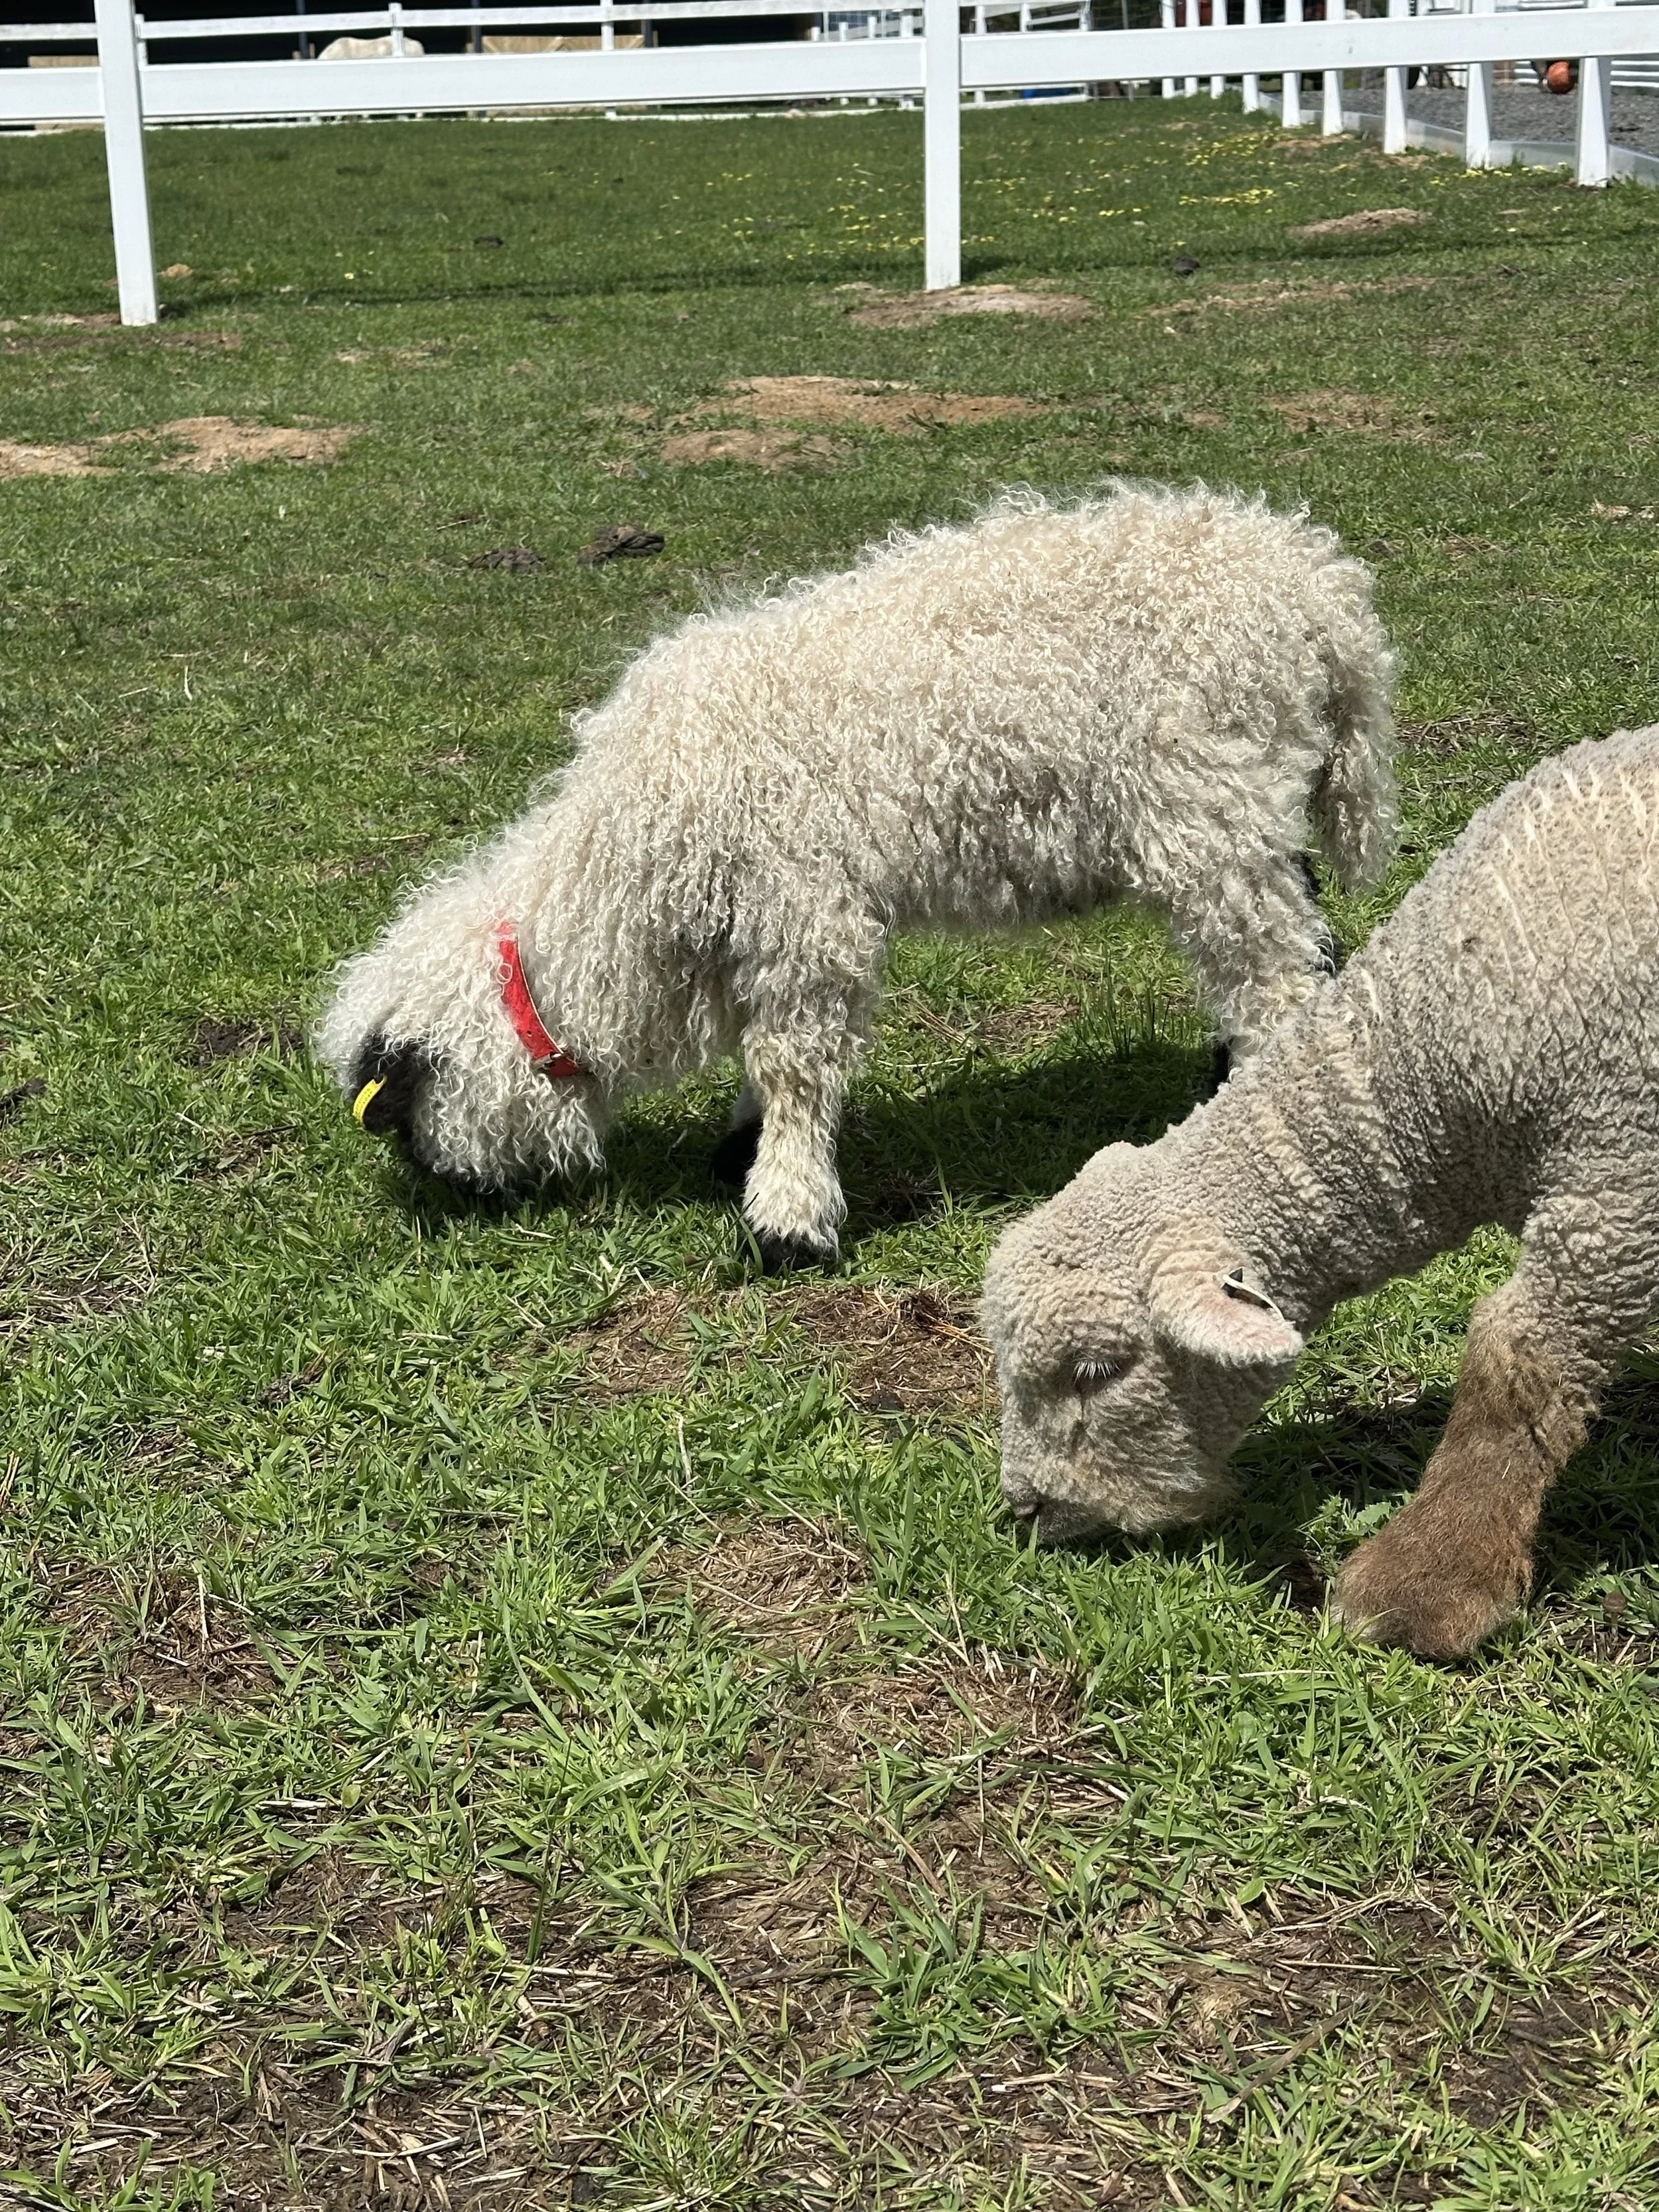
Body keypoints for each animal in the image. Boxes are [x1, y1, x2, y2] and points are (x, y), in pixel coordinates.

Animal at [317, 484, 1397, 1266]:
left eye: (406, 1119)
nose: (464, 1201)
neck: (638, 861)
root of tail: (1319, 588)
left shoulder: (804, 907)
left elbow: (793, 1061)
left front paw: (786, 1219)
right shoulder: (761, 924)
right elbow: (765, 1050)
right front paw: (743, 1148)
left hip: (1209, 805)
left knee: (1270, 972)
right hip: (1250, 805)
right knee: (1298, 936)